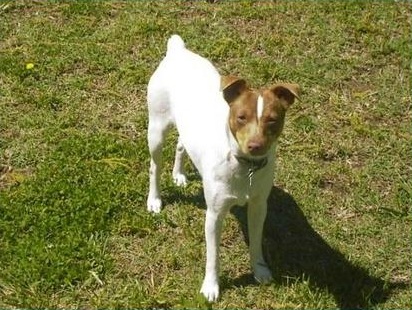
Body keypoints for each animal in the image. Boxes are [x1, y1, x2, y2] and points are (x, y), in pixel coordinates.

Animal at [146, 35, 300, 302]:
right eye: (241, 117)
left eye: (273, 120)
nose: (255, 145)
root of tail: (178, 51)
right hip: (156, 127)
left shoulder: (259, 207)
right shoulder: (215, 214)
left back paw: (179, 174)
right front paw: (211, 286)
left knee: (181, 145)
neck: (244, 165)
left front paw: (259, 270)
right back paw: (154, 199)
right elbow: (213, 256)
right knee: (155, 166)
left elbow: (256, 242)